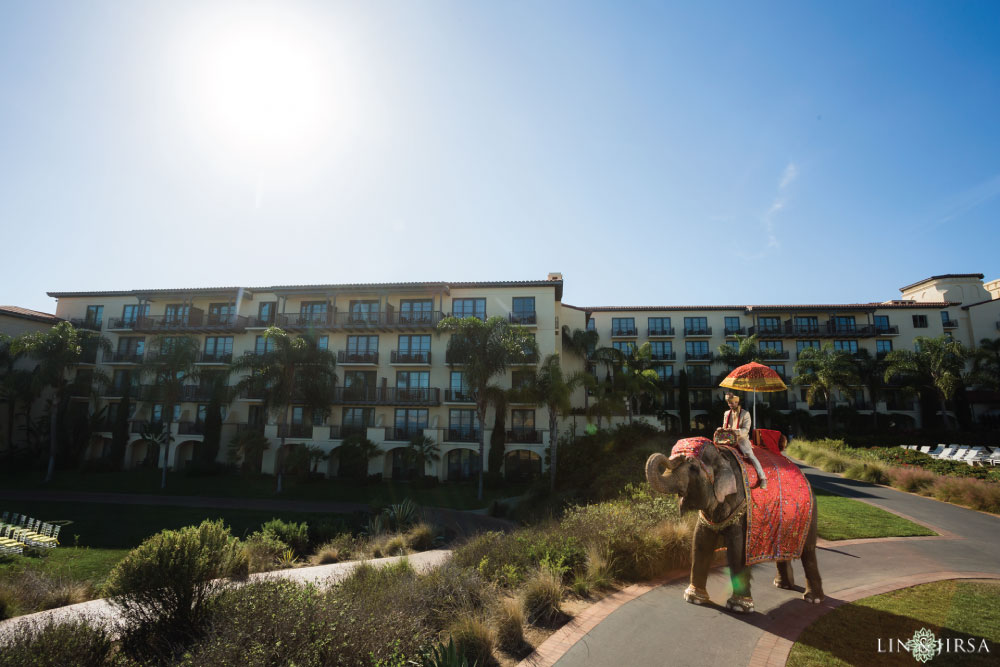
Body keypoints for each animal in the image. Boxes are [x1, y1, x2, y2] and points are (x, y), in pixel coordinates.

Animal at [644, 436, 824, 612]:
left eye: (693, 468)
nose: (679, 454)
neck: (721, 455)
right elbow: (699, 543)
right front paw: (694, 598)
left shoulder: (741, 507)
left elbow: (737, 550)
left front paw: (739, 606)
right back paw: (783, 585)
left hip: (811, 515)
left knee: (808, 552)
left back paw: (813, 598)